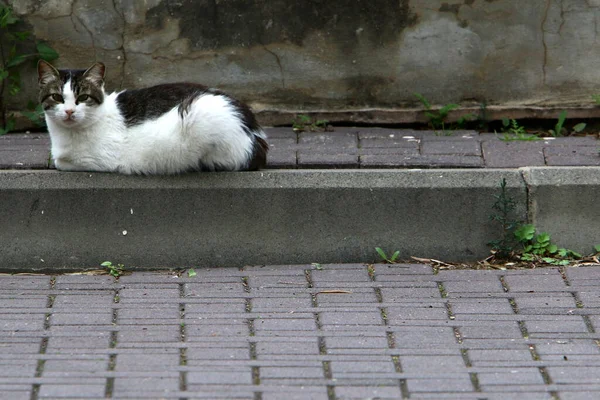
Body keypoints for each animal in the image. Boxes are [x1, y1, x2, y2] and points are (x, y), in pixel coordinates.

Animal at [38, 60, 268, 173]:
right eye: (57, 97)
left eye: (83, 97)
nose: (69, 111)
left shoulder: (100, 160)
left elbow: (61, 161)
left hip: (200, 112)